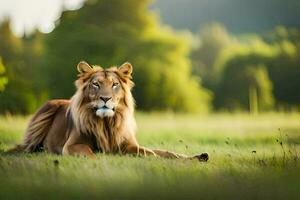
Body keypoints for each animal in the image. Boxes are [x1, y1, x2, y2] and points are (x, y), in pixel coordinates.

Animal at [7, 60, 209, 162]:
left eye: (114, 85)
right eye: (96, 84)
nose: (105, 99)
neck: (106, 122)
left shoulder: (127, 145)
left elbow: (151, 152)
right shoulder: (71, 146)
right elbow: (90, 154)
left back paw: (201, 156)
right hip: (46, 110)